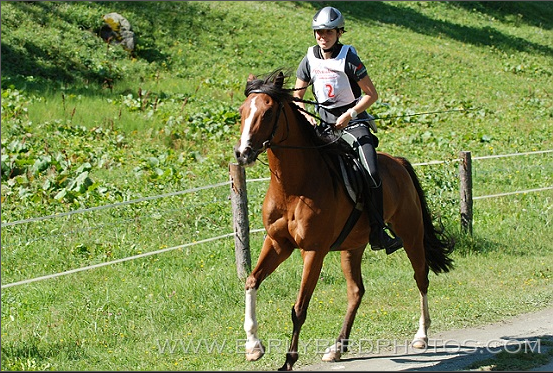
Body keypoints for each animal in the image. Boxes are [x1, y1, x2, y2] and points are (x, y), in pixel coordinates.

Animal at [233, 69, 452, 370]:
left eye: (267, 113)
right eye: (242, 111)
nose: (242, 153)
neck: (293, 187)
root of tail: (397, 162)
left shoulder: (313, 251)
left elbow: (299, 308)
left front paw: (289, 360)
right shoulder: (278, 243)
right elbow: (251, 281)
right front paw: (253, 346)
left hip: (411, 235)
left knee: (421, 278)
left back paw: (421, 335)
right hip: (353, 247)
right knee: (356, 291)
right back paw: (337, 347)